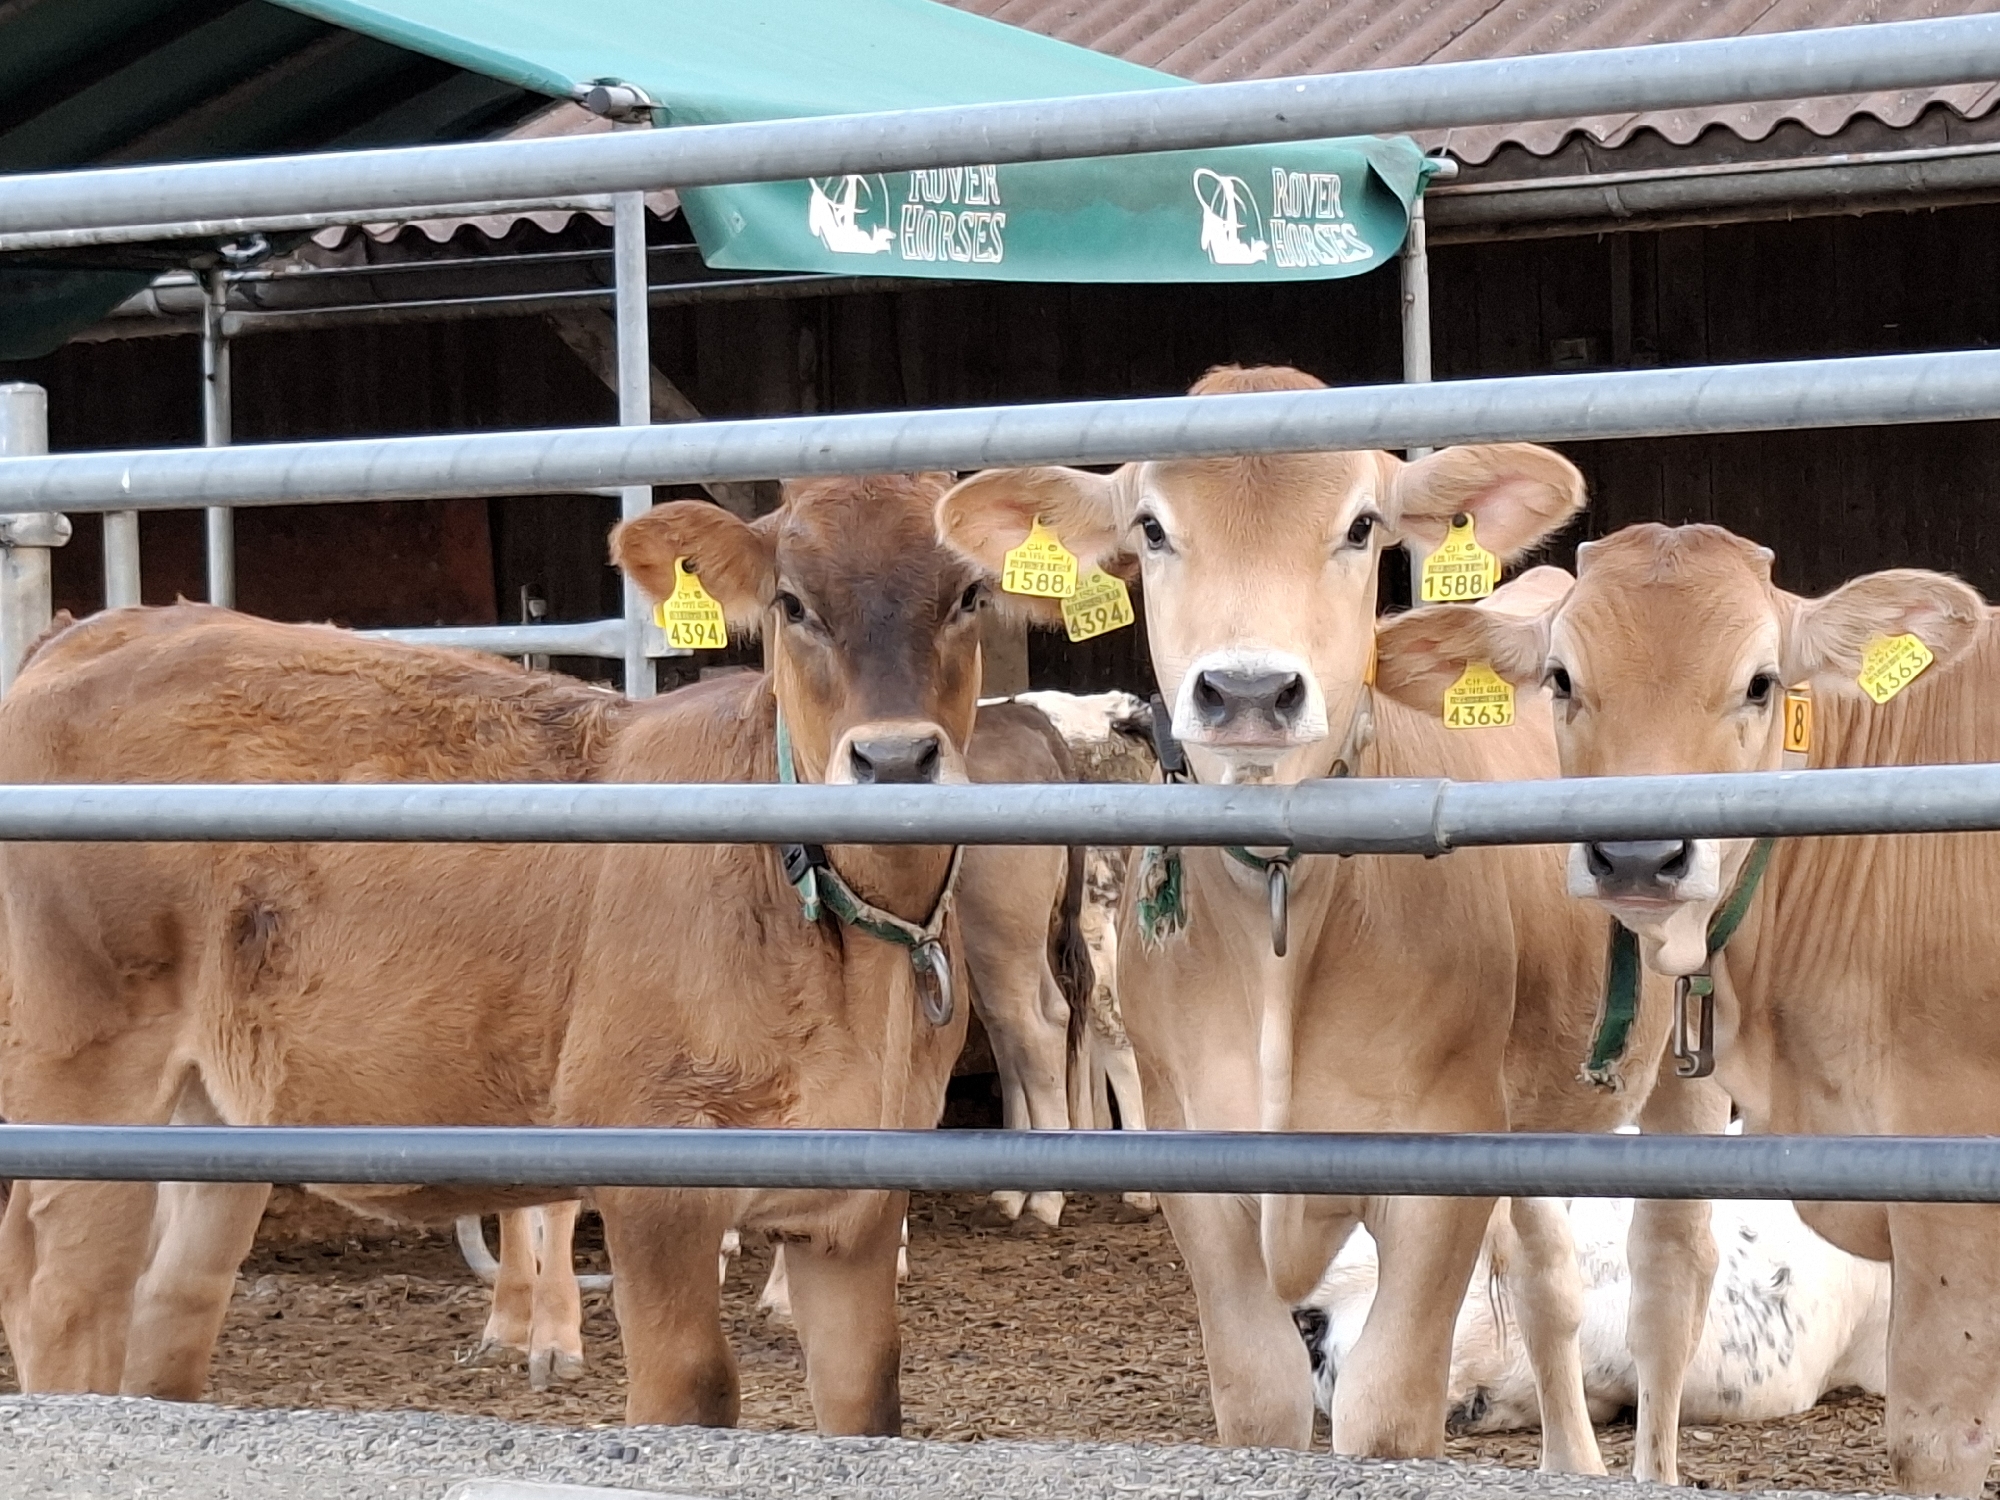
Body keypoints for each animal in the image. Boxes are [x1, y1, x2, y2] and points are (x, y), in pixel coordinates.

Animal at [0, 471, 1028, 1434]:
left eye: (970, 593)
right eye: (792, 603)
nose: (892, 761)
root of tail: (105, 627)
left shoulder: (860, 1196)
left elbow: (868, 1401)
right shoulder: (658, 1177)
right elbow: (691, 1393)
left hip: (211, 1112)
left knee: (168, 1305)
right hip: (86, 1069)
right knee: (60, 1292)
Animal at [935, 366, 1725, 1481]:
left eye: (1360, 525)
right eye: (1150, 526)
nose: (1248, 690)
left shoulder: (1437, 1160)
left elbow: (1387, 1413)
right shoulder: (1200, 1165)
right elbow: (1257, 1402)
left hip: (1686, 1051)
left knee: (1670, 1279)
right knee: (1546, 1281)